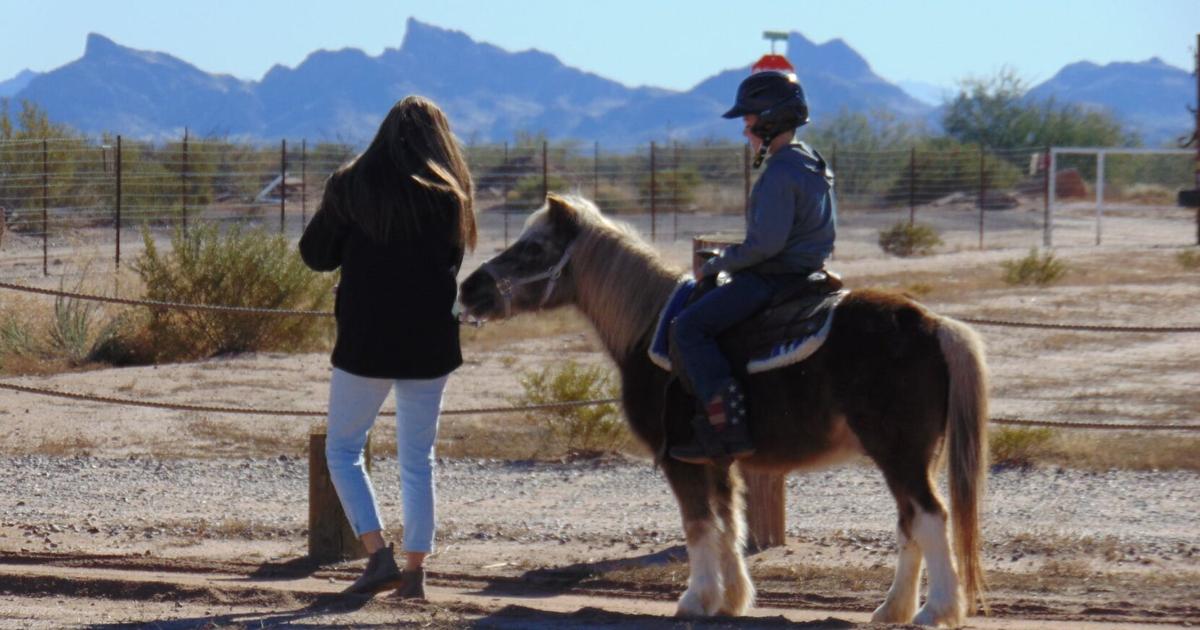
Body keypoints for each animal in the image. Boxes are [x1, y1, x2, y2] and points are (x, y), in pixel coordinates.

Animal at [458, 195, 988, 627]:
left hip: (899, 453)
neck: (653, 328)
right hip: (911, 455)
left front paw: (695, 600)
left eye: (534, 248)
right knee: (909, 522)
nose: (470, 289)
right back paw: (892, 609)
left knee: (930, 517)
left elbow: (698, 525)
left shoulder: (679, 460)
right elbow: (729, 523)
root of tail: (931, 323)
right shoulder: (716, 459)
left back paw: (936, 610)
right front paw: (731, 600)